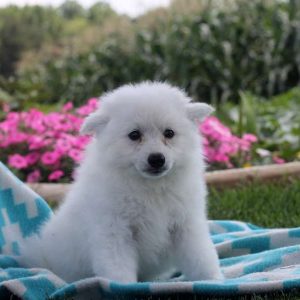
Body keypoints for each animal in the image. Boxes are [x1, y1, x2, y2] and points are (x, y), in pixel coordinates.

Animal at [19, 82, 223, 284]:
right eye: (134, 135)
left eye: (169, 133)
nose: (157, 159)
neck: (150, 188)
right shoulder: (114, 231)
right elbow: (118, 269)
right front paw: (121, 287)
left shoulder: (186, 224)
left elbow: (200, 256)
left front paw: (212, 279)